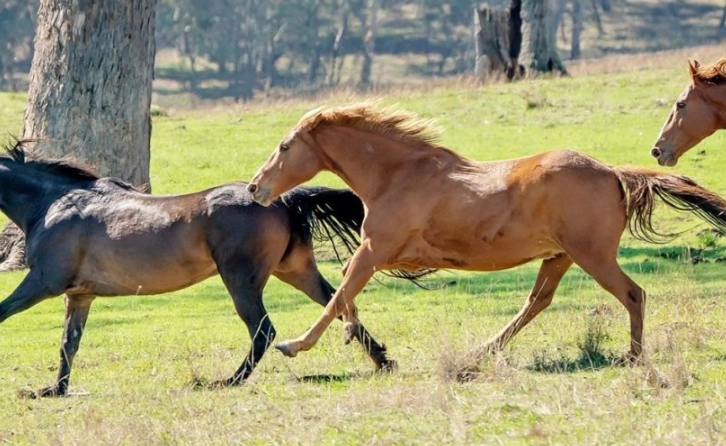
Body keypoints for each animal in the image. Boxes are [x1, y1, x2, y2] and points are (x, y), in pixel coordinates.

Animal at [0, 139, 395, 398]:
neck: (53, 203)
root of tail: (282, 198)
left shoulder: (44, 282)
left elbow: (4, 312)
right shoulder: (79, 295)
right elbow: (69, 343)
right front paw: (53, 390)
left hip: (241, 279)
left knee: (264, 330)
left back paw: (226, 381)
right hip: (295, 270)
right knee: (337, 304)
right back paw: (383, 361)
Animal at [247, 102, 726, 370]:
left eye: (285, 147)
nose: (254, 187)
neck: (398, 174)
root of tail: (613, 172)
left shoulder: (376, 250)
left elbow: (338, 293)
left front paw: (295, 345)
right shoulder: (387, 254)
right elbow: (345, 287)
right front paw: (354, 333)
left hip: (594, 257)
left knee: (632, 295)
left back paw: (633, 356)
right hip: (560, 257)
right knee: (537, 302)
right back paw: (479, 352)